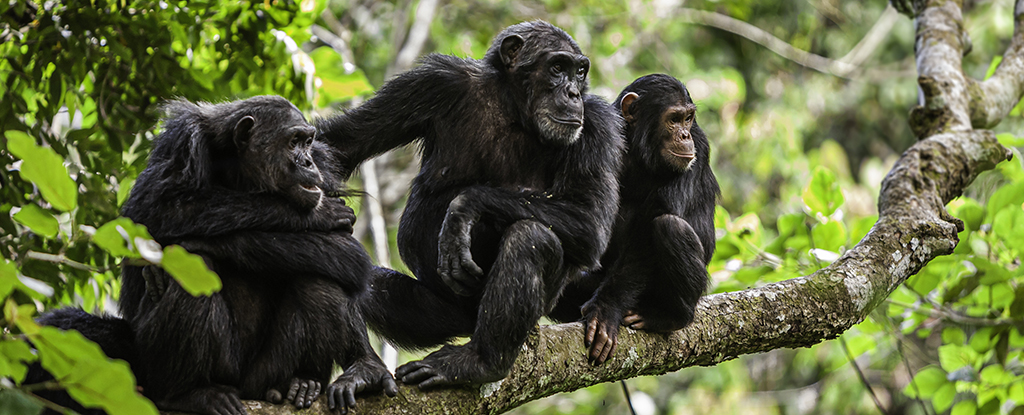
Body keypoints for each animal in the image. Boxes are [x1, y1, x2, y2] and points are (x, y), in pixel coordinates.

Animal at [36, 94, 397, 413]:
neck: (242, 172)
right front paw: (316, 215)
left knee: (320, 280)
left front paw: (364, 366)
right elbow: (159, 210)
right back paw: (187, 394)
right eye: (293, 142)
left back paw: (309, 380)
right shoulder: (182, 142)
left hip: (260, 379)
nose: (306, 162)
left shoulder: (324, 166)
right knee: (192, 273)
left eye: (308, 143)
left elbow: (346, 254)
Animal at [313, 21, 622, 387]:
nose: (573, 93)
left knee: (532, 238)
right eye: (557, 67)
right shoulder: (432, 82)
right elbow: (341, 144)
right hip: (442, 315)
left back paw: (479, 362)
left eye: (580, 71)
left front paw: (463, 209)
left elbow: (589, 219)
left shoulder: (599, 125)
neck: (514, 108)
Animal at [552, 73, 720, 362]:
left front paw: (606, 309)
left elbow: (653, 221)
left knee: (669, 227)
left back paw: (670, 316)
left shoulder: (698, 145)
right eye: (674, 119)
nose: (684, 135)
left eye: (688, 119)